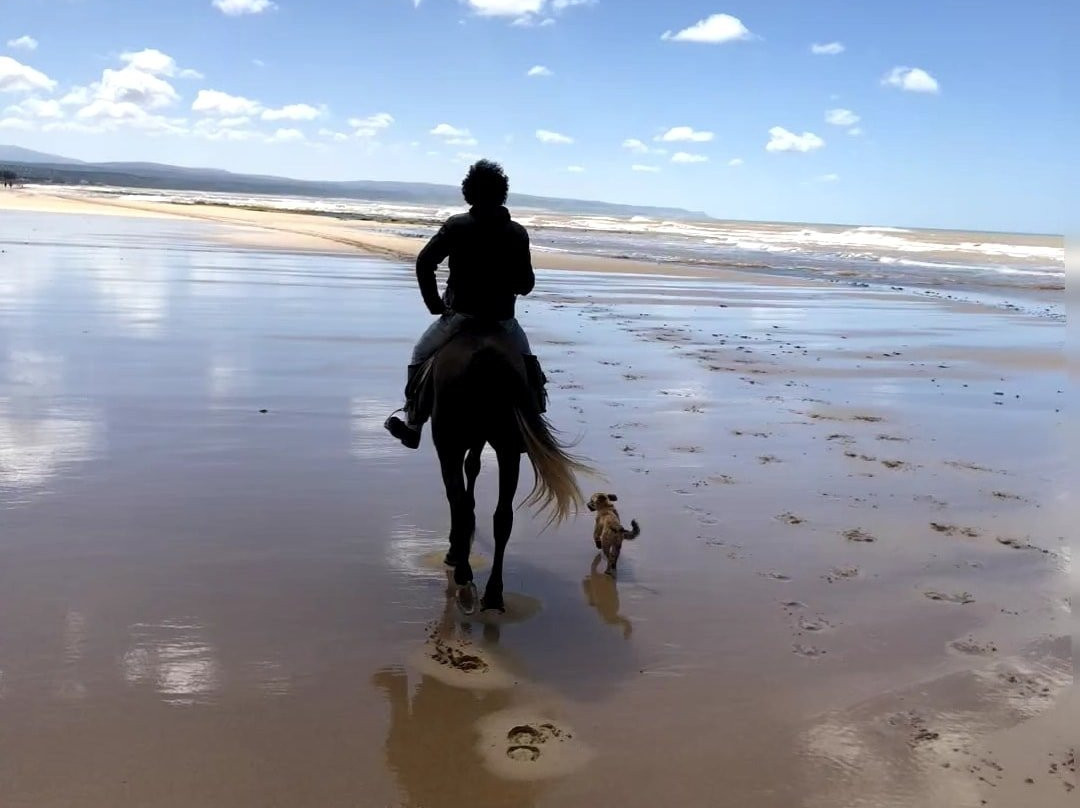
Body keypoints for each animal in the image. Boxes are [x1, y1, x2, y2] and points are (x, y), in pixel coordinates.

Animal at [427, 321, 591, 614]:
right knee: (503, 517)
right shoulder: (479, 441)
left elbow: (460, 495)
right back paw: (493, 593)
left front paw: (455, 550)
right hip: (509, 449)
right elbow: (473, 468)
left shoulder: (451, 448)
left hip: (450, 445)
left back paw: (464, 575)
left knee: (459, 503)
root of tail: (485, 355)